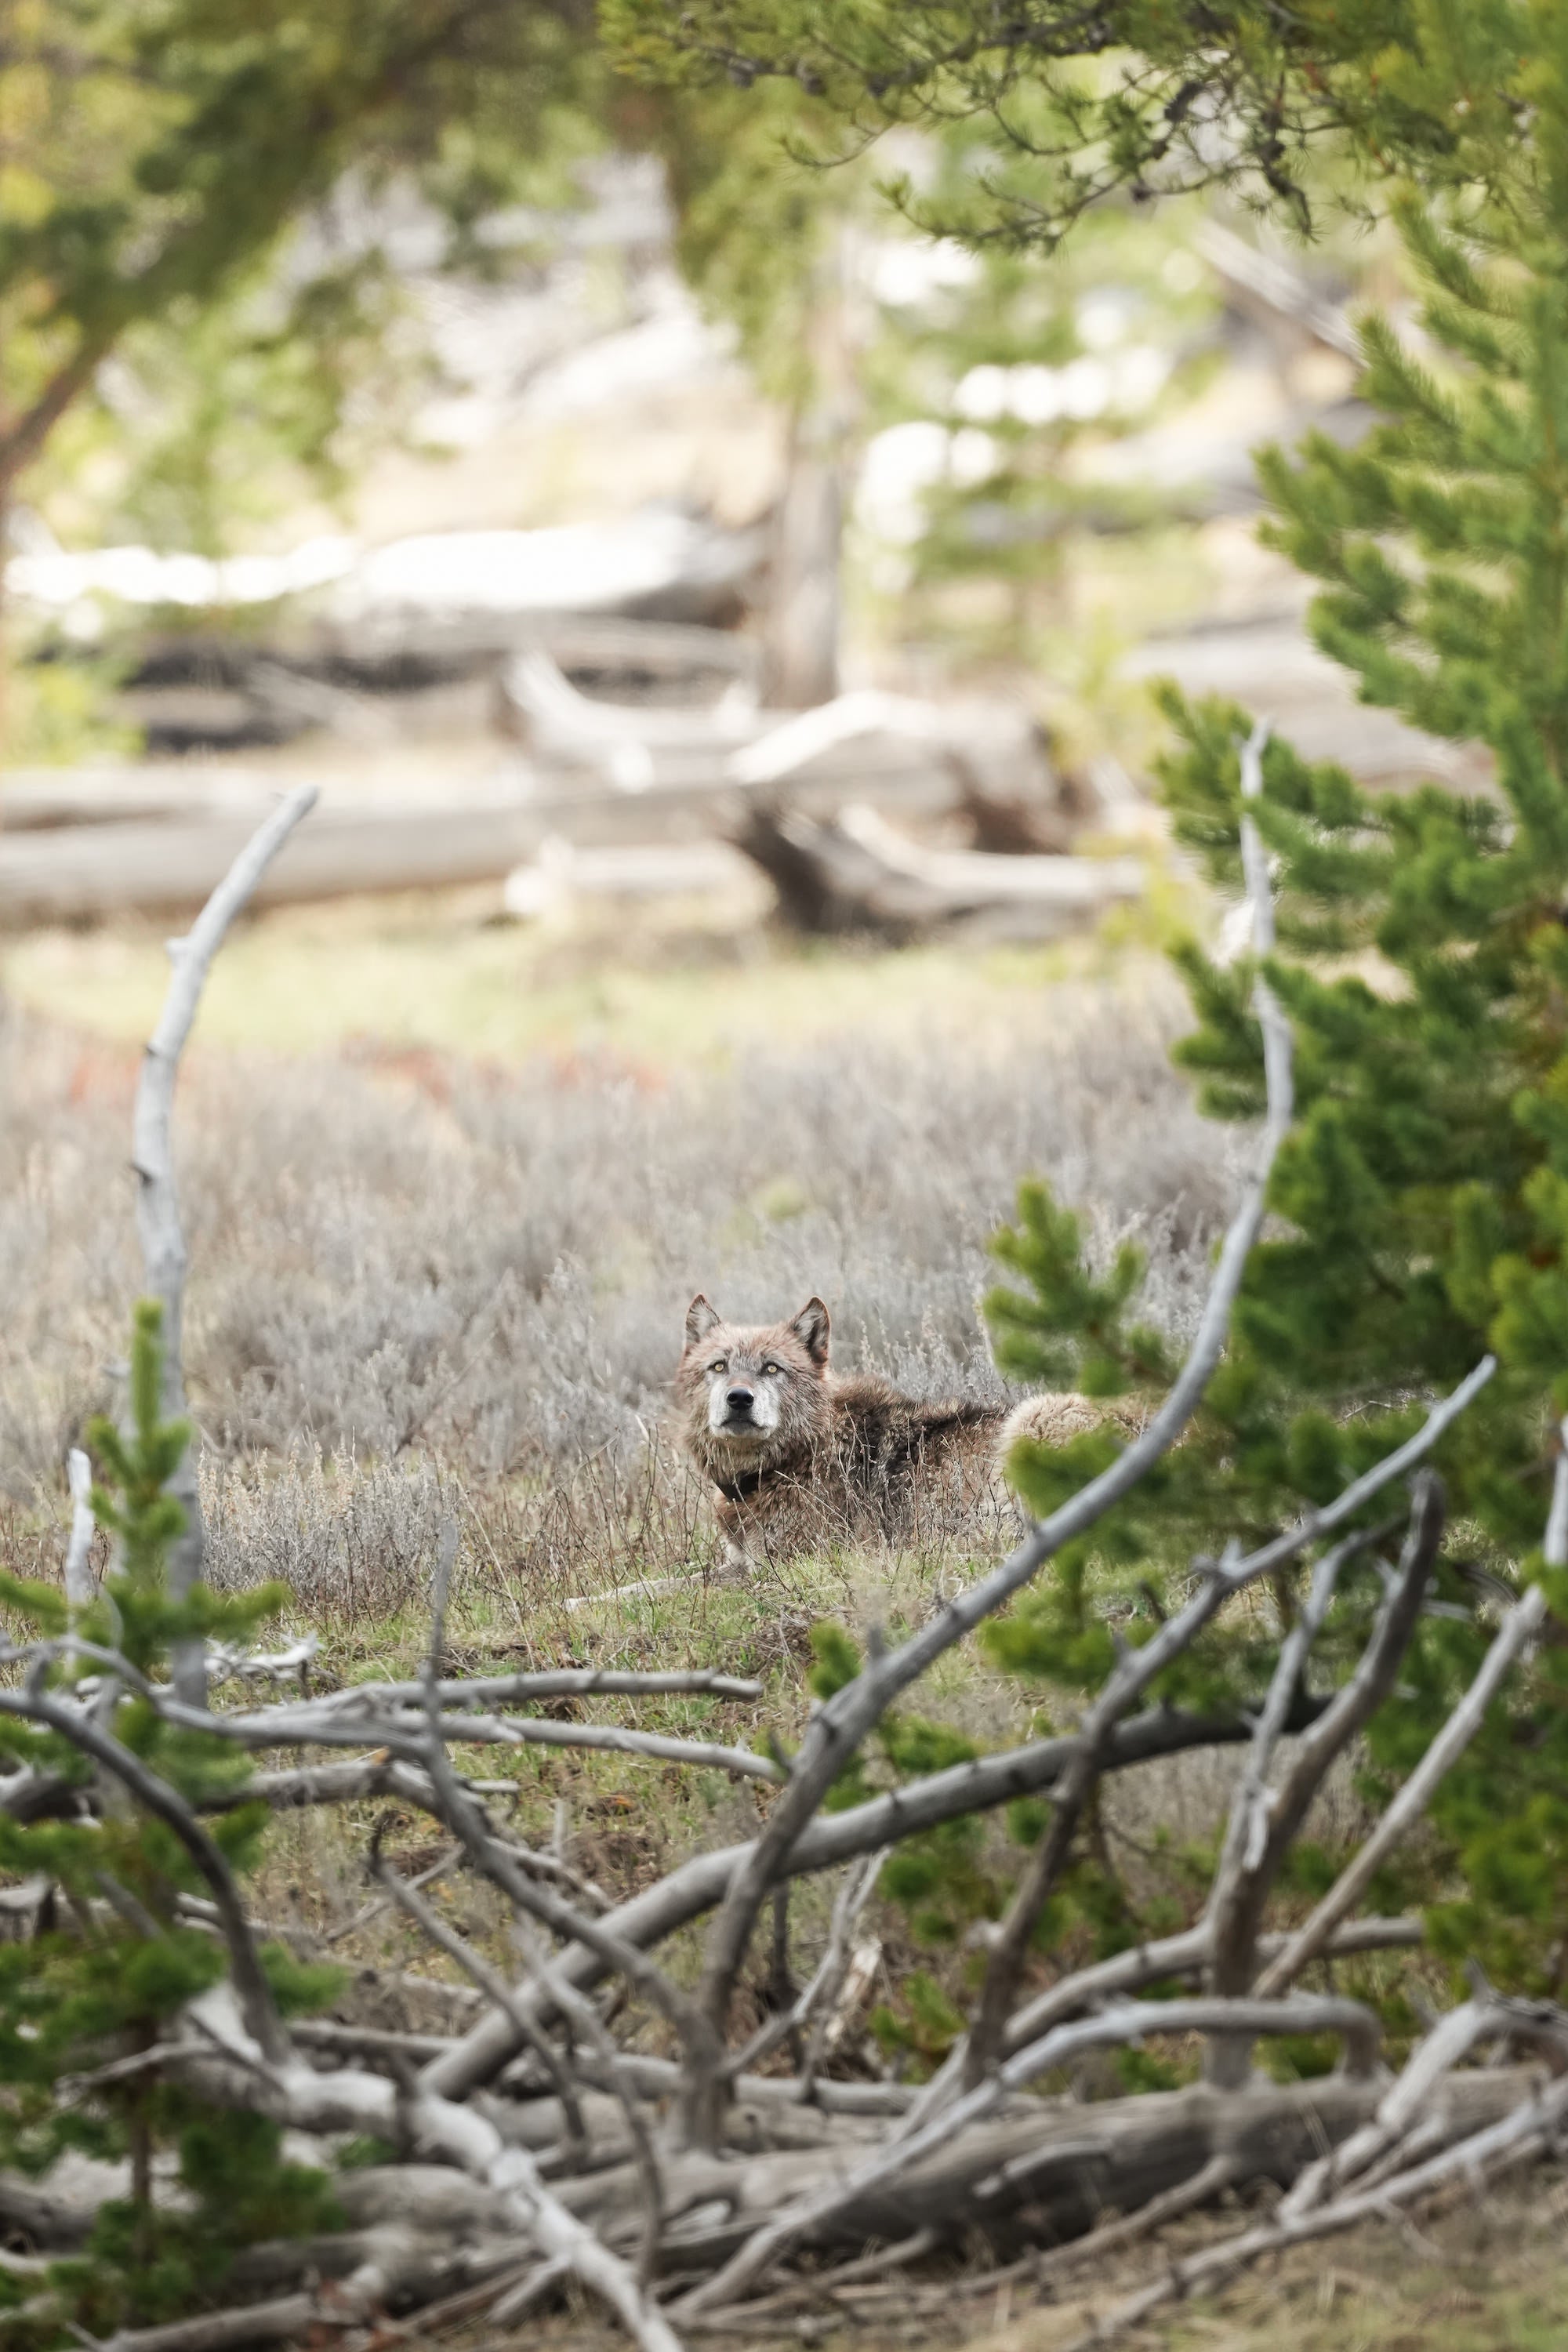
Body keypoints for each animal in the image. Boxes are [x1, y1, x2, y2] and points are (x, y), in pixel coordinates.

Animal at [675, 1292, 1125, 1568]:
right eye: (719, 1366)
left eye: (771, 1369)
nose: (739, 1398)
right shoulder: (736, 1560)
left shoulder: (792, 1559)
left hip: (1029, 1422)